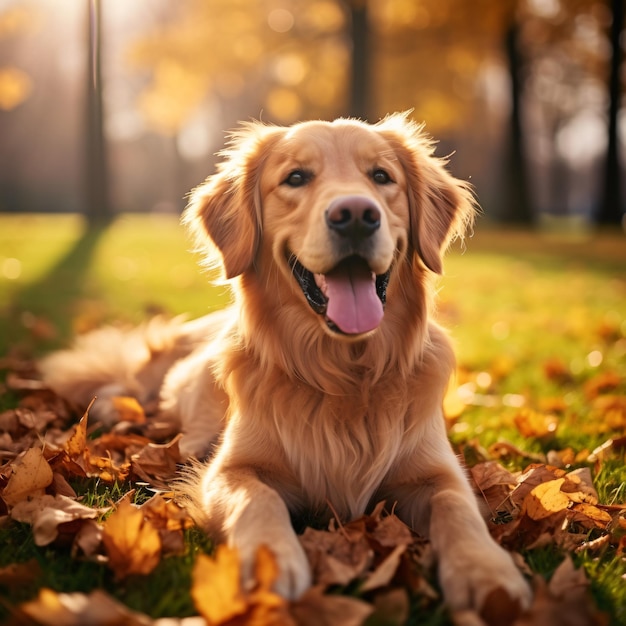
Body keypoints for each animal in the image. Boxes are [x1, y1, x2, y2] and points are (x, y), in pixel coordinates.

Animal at [40, 112, 528, 616]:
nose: (356, 215)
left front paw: (485, 572)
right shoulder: (232, 469)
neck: (346, 377)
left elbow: (458, 507)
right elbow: (257, 499)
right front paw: (269, 563)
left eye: (381, 176)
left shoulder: (437, 472)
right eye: (295, 178)